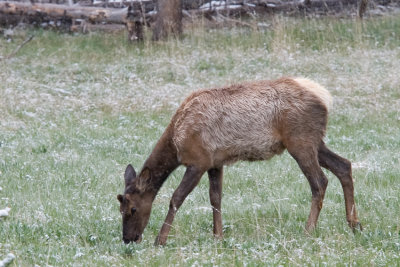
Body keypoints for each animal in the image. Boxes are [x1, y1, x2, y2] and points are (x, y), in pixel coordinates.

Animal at [116, 76, 362, 246]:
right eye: (120, 209)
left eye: (133, 209)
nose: (128, 238)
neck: (176, 141)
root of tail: (325, 98)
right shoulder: (215, 162)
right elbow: (215, 198)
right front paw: (218, 236)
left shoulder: (198, 161)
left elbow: (176, 198)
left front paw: (160, 240)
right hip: (314, 142)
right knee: (344, 165)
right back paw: (355, 224)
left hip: (300, 141)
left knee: (320, 182)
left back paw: (308, 230)